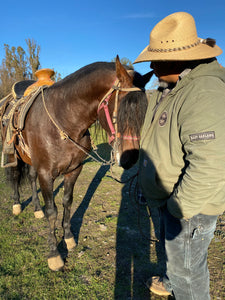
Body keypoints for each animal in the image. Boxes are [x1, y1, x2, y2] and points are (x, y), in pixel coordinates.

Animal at [0, 56, 152, 270]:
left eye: (144, 112)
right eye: (122, 111)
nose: (130, 158)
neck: (64, 121)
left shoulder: (74, 170)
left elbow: (67, 202)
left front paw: (69, 238)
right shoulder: (46, 174)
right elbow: (52, 211)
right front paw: (54, 255)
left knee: (30, 177)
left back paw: (36, 209)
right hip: (14, 155)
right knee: (14, 176)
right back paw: (16, 205)